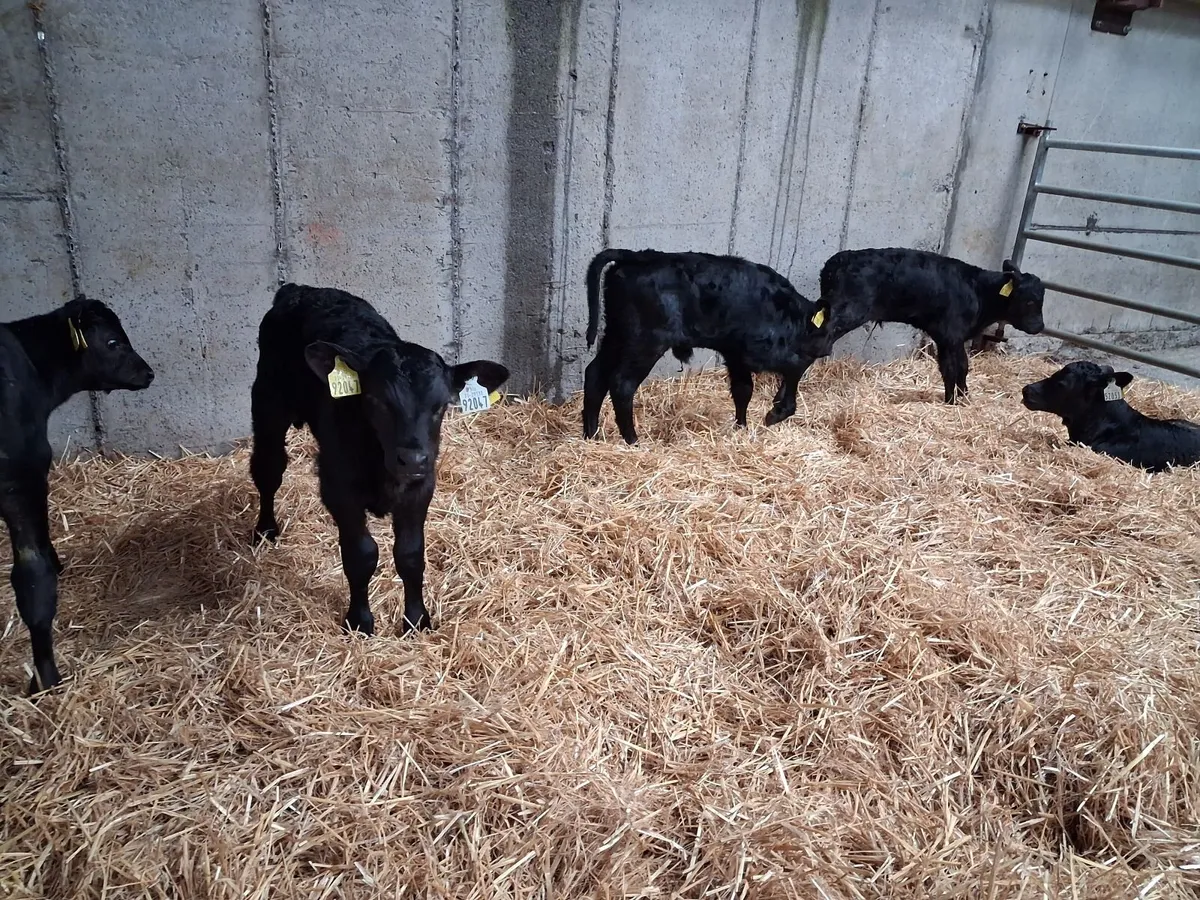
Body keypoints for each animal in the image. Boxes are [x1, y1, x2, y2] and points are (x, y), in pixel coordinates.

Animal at [249, 283, 509, 636]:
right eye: (375, 400)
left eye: (441, 405)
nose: (412, 459)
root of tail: (301, 289)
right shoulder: (338, 487)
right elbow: (361, 554)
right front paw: (360, 621)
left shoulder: (421, 487)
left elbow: (410, 555)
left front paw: (417, 620)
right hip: (268, 402)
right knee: (268, 469)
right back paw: (265, 530)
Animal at [582, 248, 833, 444]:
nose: (826, 350)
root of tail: (636, 256)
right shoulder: (761, 353)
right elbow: (792, 371)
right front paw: (776, 413)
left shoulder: (734, 355)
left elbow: (743, 390)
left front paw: (741, 428)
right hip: (645, 343)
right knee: (622, 384)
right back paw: (633, 440)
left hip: (616, 336)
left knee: (595, 374)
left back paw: (591, 435)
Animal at [810, 249, 1046, 403]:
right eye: (1030, 301)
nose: (1039, 326)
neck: (979, 291)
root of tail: (837, 261)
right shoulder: (953, 334)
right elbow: (959, 366)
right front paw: (958, 400)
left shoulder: (944, 337)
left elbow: (949, 367)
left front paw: (955, 398)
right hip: (848, 311)